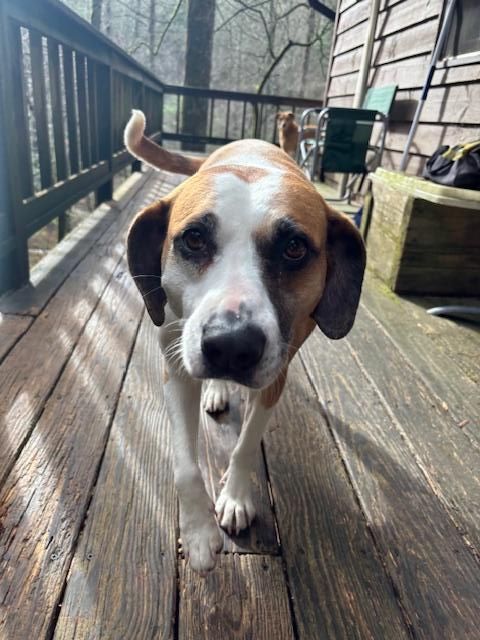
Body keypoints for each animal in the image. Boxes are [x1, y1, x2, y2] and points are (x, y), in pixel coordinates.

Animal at [124, 110, 365, 574]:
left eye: (294, 248)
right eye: (194, 239)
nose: (232, 345)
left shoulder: (276, 374)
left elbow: (247, 443)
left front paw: (235, 496)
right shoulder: (175, 366)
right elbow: (185, 466)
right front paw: (198, 533)